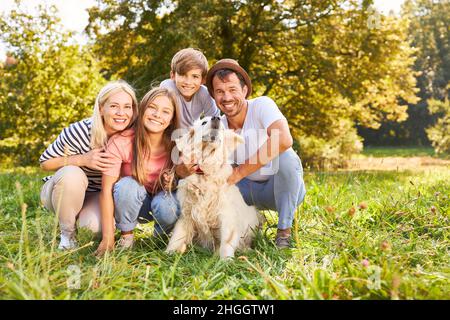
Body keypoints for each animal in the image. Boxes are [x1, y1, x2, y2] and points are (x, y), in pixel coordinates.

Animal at [167, 116, 262, 258]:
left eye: (222, 127)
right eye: (203, 122)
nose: (216, 118)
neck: (206, 172)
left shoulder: (226, 215)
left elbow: (226, 243)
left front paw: (225, 260)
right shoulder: (187, 213)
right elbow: (177, 236)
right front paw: (168, 253)